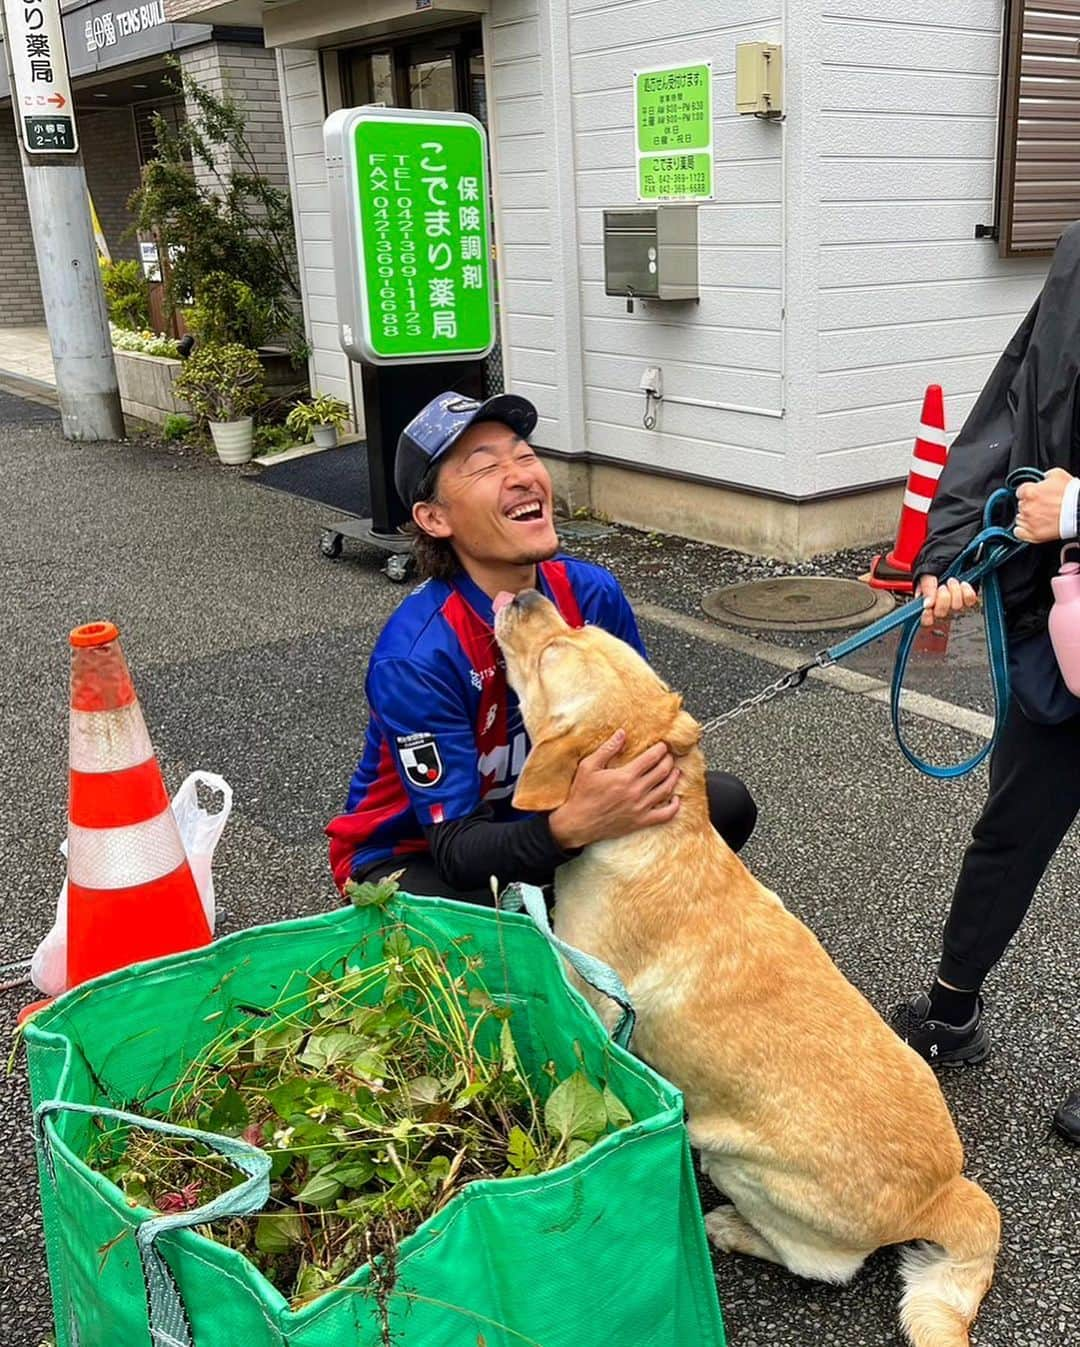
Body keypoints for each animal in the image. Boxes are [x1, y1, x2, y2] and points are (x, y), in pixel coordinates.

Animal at [492, 589, 996, 1347]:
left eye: (554, 651)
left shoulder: (598, 1003)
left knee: (819, 1264)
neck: (654, 833)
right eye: (576, 626)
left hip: (728, 1154)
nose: (524, 593)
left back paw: (730, 1227)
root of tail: (947, 1191)